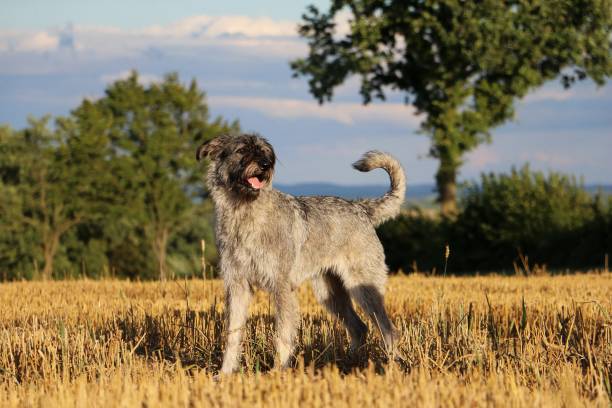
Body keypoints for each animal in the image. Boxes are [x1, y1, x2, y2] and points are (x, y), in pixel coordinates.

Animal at [197, 133, 406, 372]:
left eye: (264, 152)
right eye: (241, 150)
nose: (265, 165)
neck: (244, 212)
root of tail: (361, 208)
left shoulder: (281, 287)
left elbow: (282, 336)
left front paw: (278, 371)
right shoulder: (237, 286)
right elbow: (232, 334)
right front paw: (225, 373)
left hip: (364, 289)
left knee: (388, 329)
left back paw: (392, 364)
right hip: (330, 295)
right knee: (359, 327)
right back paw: (347, 362)